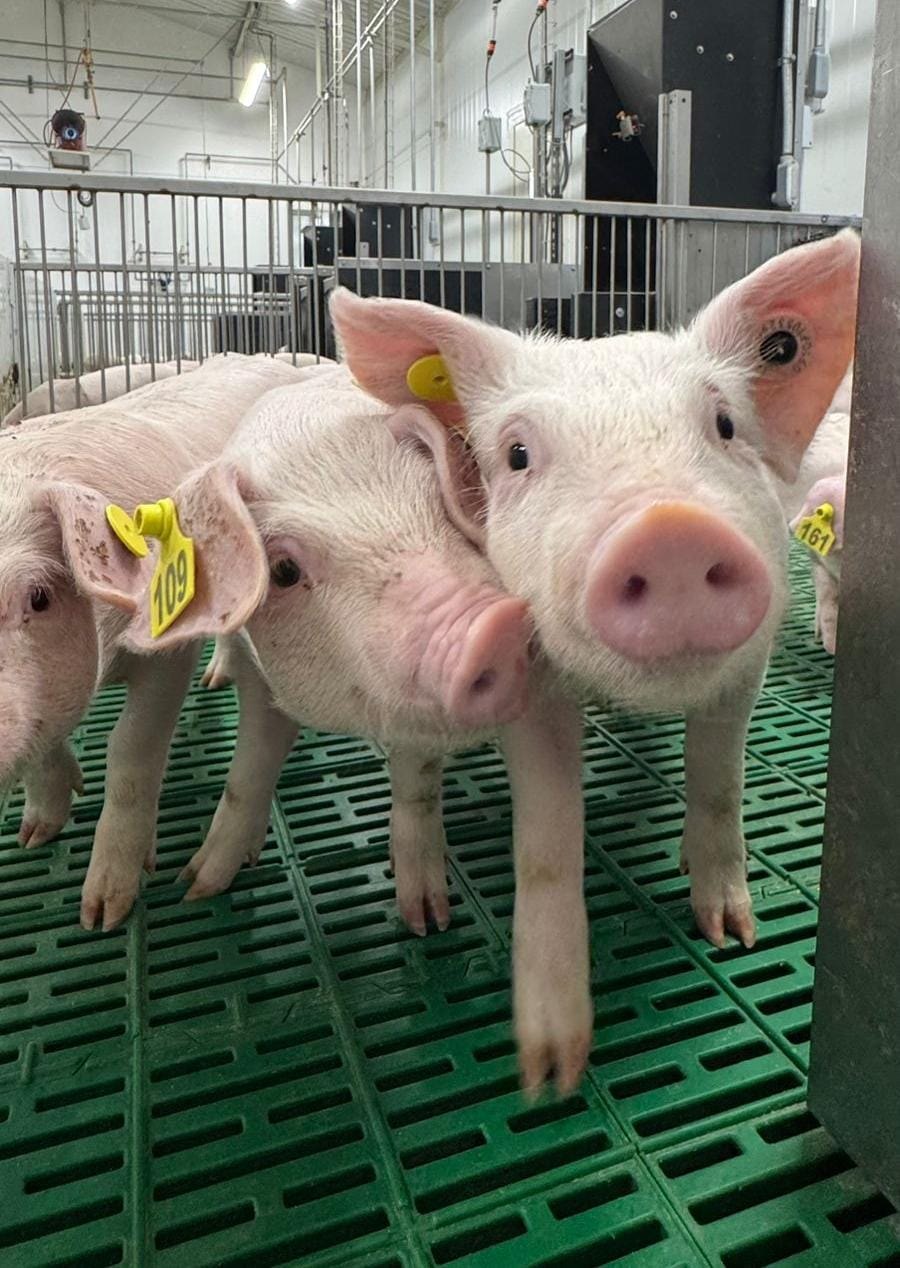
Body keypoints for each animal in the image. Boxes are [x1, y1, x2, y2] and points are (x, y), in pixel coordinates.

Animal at [90, 368, 591, 1094]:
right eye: (284, 571)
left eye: (436, 502)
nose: (488, 628)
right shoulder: (268, 676)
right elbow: (249, 772)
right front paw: (196, 886)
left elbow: (419, 779)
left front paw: (428, 922)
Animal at [328, 229, 860, 954]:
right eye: (517, 455)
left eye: (724, 424)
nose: (669, 530)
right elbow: (533, 828)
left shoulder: (748, 665)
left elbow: (719, 783)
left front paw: (732, 935)